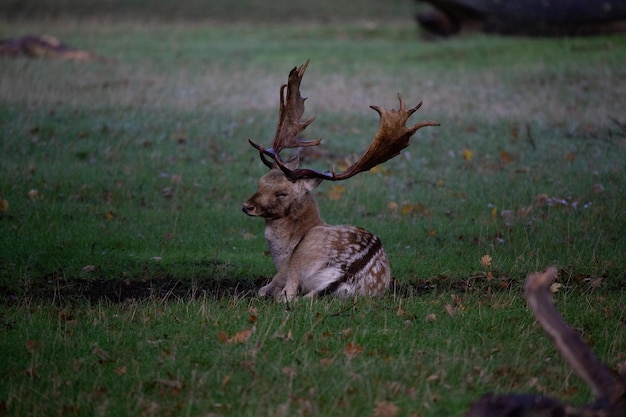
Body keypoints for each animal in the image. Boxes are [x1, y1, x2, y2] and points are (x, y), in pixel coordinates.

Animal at [240, 60, 438, 300]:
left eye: (283, 192)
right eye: (261, 181)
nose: (246, 206)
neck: (283, 251)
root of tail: (345, 273)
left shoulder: (285, 268)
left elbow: (265, 289)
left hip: (302, 259)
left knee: (286, 295)